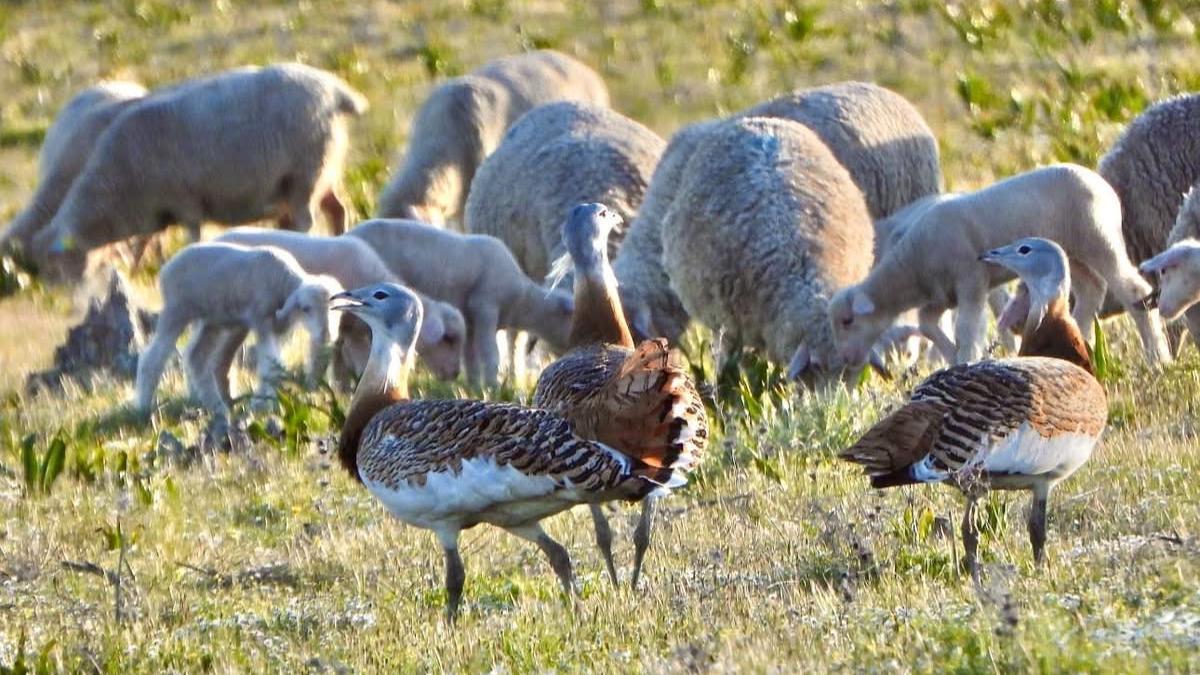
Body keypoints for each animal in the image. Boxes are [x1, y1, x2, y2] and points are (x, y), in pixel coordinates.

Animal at [33, 63, 367, 280]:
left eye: (57, 268)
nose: (71, 308)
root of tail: (335, 91)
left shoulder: (186, 202)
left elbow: (190, 237)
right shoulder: (157, 211)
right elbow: (144, 242)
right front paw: (137, 270)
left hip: (305, 174)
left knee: (305, 220)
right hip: (324, 171)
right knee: (337, 209)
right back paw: (340, 238)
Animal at [134, 243, 342, 422]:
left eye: (336, 309)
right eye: (306, 309)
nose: (326, 334)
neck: (282, 281)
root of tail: (166, 268)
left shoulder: (277, 330)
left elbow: (275, 367)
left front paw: (271, 402)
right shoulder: (261, 319)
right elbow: (268, 368)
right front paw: (260, 406)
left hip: (212, 319)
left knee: (196, 357)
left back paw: (216, 406)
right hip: (176, 310)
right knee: (153, 359)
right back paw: (143, 407)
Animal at [213, 227, 465, 380]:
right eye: (448, 339)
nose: (454, 374)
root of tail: (217, 238)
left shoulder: (352, 332)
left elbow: (351, 369)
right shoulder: (338, 329)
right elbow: (325, 364)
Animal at [346, 219, 574, 386]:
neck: (521, 301)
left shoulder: (470, 321)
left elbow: (470, 357)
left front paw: (475, 387)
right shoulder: (485, 307)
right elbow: (490, 354)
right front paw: (494, 387)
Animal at [829, 163, 1172, 369]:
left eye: (847, 321)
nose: (845, 359)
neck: (913, 266)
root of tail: (1105, 188)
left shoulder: (970, 281)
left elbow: (968, 330)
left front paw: (966, 358)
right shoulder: (941, 296)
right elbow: (928, 325)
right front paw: (951, 355)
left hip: (1099, 238)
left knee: (1133, 291)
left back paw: (1158, 358)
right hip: (1072, 252)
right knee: (1091, 291)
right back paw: (1077, 337)